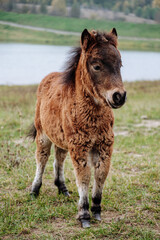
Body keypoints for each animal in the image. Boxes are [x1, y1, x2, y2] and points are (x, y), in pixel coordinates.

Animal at [28, 28, 126, 227]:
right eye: (96, 66)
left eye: (120, 65)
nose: (119, 96)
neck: (94, 118)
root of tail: (48, 77)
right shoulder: (79, 146)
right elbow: (84, 177)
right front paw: (84, 215)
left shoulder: (104, 145)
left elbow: (101, 174)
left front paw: (96, 210)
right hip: (43, 134)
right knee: (42, 159)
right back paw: (34, 191)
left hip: (63, 139)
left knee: (59, 158)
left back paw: (63, 189)